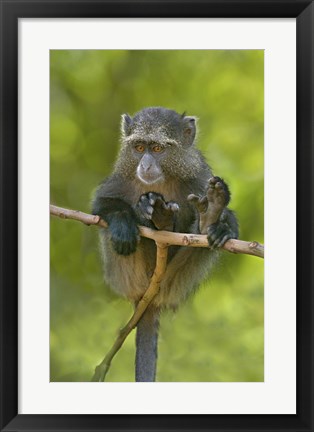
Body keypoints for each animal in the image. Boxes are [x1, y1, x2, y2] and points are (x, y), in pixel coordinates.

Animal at [92, 107, 239, 382]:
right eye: (139, 147)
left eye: (158, 149)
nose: (146, 164)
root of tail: (148, 298)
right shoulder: (119, 179)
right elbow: (102, 205)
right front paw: (124, 223)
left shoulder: (200, 178)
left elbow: (230, 221)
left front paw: (222, 225)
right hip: (127, 274)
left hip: (176, 280)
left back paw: (208, 220)